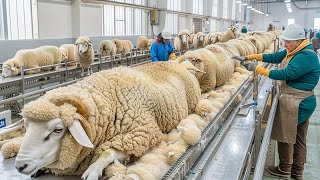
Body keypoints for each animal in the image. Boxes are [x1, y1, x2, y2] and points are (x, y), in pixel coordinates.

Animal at [15, 61, 201, 178]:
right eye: (27, 126)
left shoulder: (140, 135)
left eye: (57, 130)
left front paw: (92, 171)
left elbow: (107, 152)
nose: (19, 166)